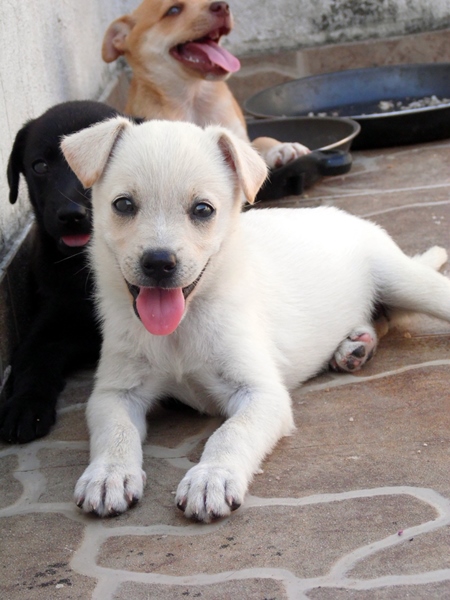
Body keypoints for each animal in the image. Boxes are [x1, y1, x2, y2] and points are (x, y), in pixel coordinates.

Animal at [61, 117, 450, 520]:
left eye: (203, 209)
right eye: (123, 204)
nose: (158, 262)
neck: (182, 328)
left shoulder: (262, 394)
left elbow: (231, 432)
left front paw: (211, 477)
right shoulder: (114, 393)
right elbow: (116, 432)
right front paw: (109, 474)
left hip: (403, 280)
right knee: (380, 319)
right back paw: (355, 346)